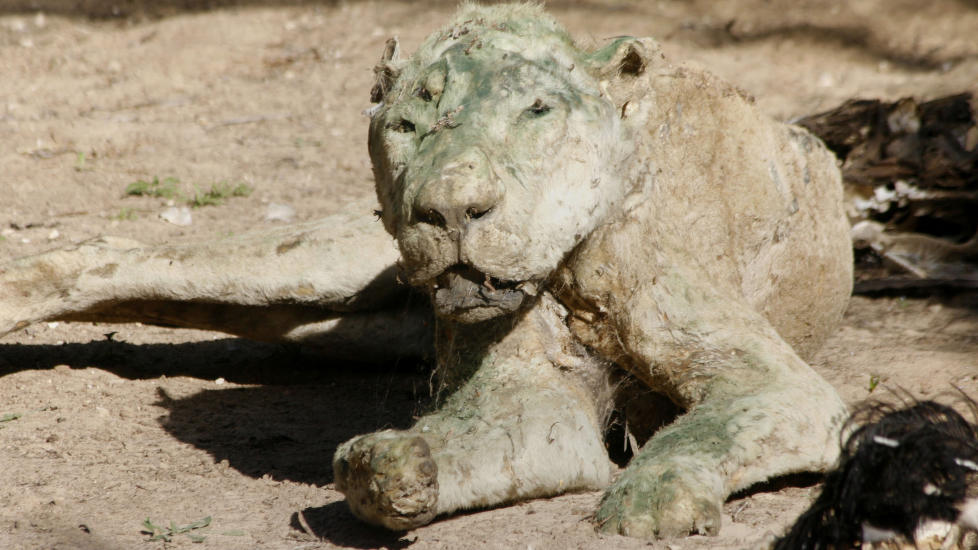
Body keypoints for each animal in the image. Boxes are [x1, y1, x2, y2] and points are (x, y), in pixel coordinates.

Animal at [0, 2, 852, 540]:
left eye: (536, 111)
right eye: (408, 123)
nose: (449, 210)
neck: (563, 269)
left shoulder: (783, 386)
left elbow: (703, 431)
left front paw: (652, 499)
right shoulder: (525, 398)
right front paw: (390, 465)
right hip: (318, 263)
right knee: (108, 255)